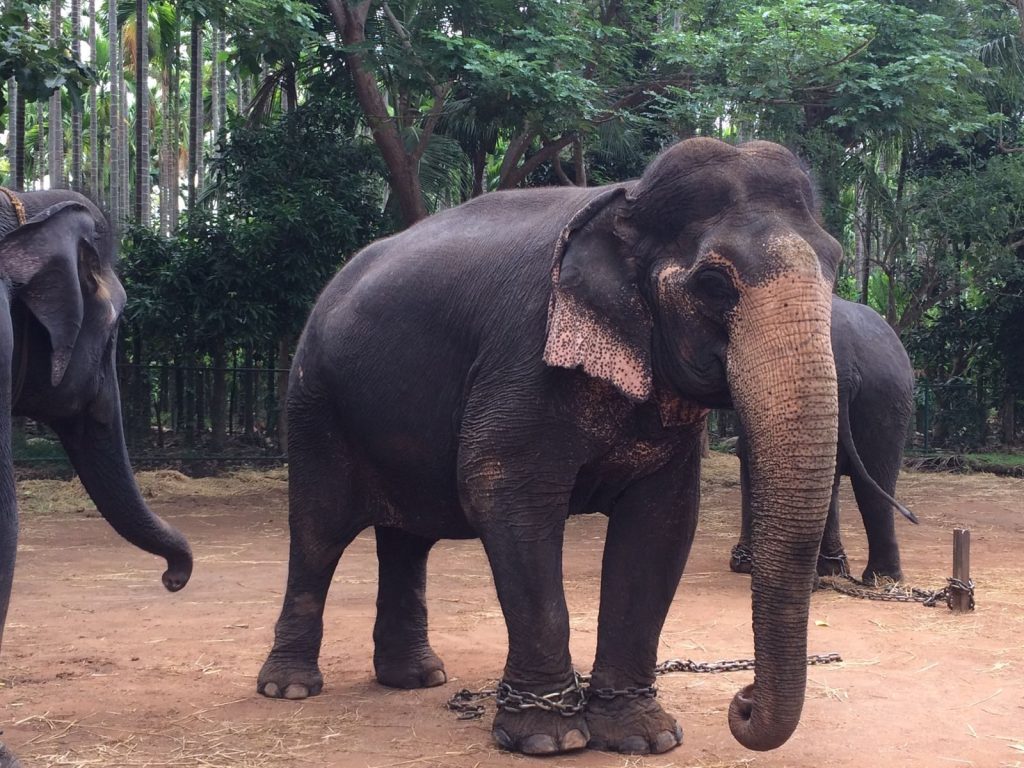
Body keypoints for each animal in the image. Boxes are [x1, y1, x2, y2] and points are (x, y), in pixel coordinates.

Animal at [257, 138, 843, 756]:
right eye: (713, 283)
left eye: (836, 266)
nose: (743, 702)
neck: (628, 200)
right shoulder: (523, 355)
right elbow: (502, 493)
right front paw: (547, 739)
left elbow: (661, 523)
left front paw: (645, 736)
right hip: (312, 402)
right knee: (318, 532)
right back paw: (289, 688)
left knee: (407, 540)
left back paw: (418, 678)